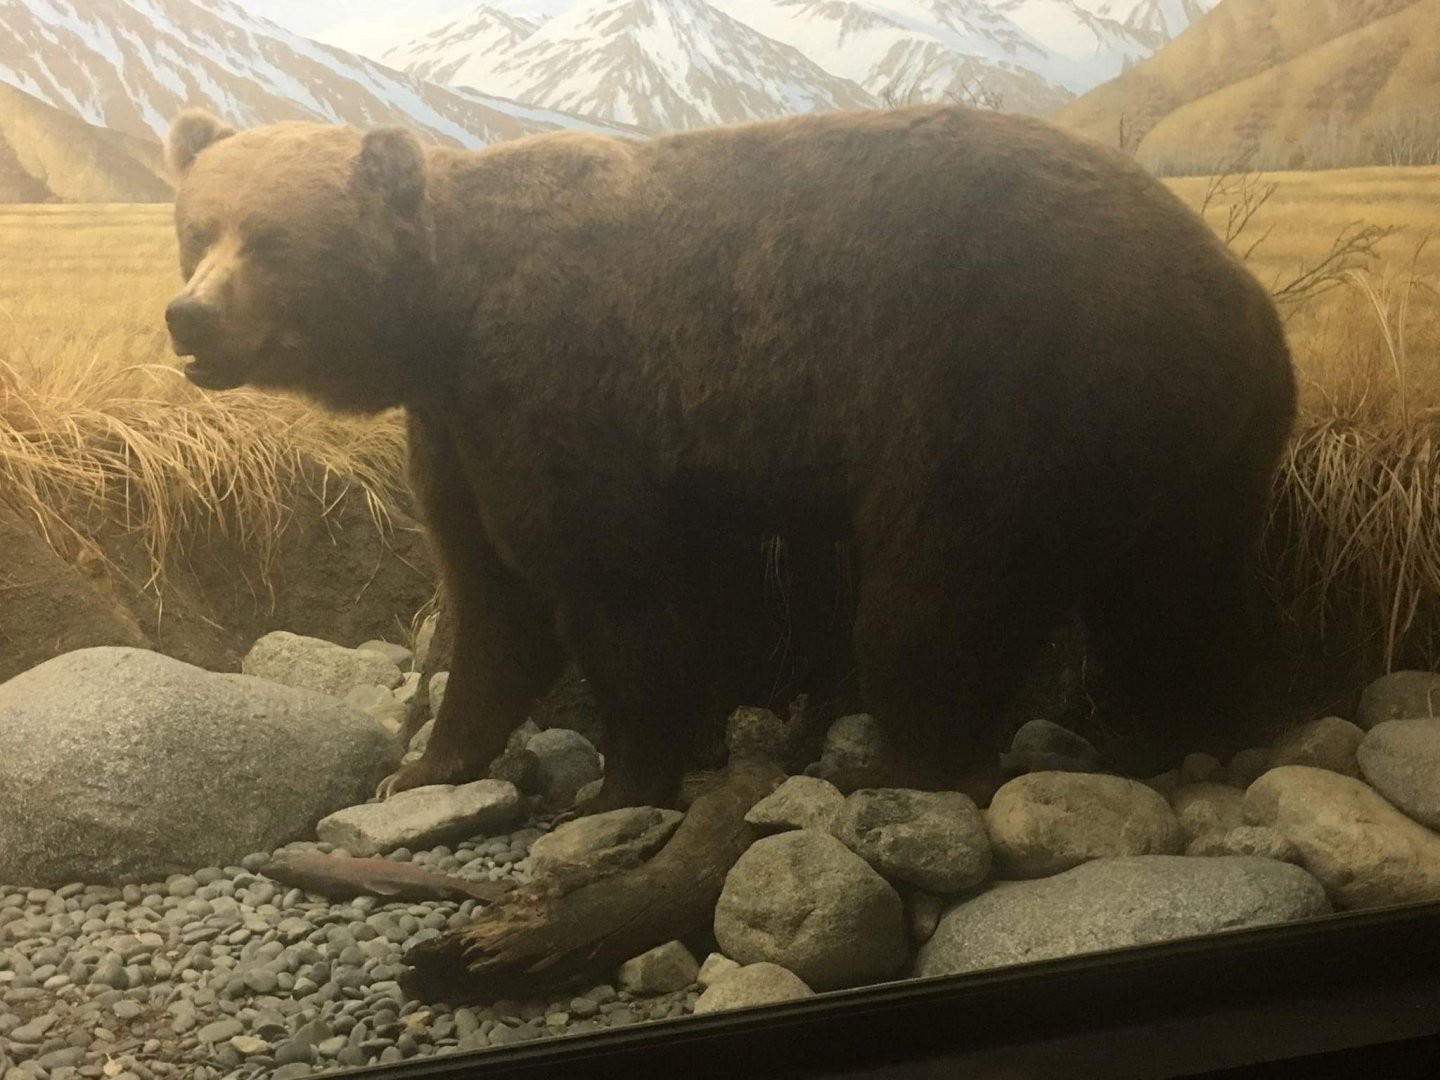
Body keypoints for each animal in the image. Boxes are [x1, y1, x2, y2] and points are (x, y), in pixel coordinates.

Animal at [162, 103, 1297, 812]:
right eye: (198, 229)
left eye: (273, 240)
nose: (188, 317)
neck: (444, 314)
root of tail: (1237, 291)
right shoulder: (455, 428)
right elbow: (490, 594)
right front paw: (425, 765)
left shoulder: (555, 385)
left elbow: (610, 589)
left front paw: (622, 778)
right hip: (1194, 446)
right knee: (1174, 593)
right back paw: (1188, 730)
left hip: (1008, 386)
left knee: (937, 592)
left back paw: (905, 762)